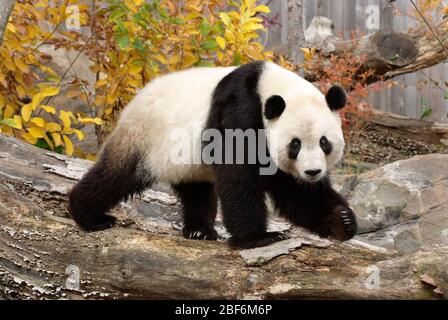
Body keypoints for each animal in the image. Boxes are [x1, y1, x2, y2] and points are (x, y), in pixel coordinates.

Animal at [69, 60, 356, 250]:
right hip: (145, 136)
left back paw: (200, 231)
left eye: (324, 142)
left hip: (185, 158)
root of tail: (134, 100)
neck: (268, 86)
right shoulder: (239, 108)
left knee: (196, 190)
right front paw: (259, 238)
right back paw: (89, 215)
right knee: (117, 175)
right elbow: (238, 175)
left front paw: (341, 220)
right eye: (295, 144)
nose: (312, 172)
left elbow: (295, 191)